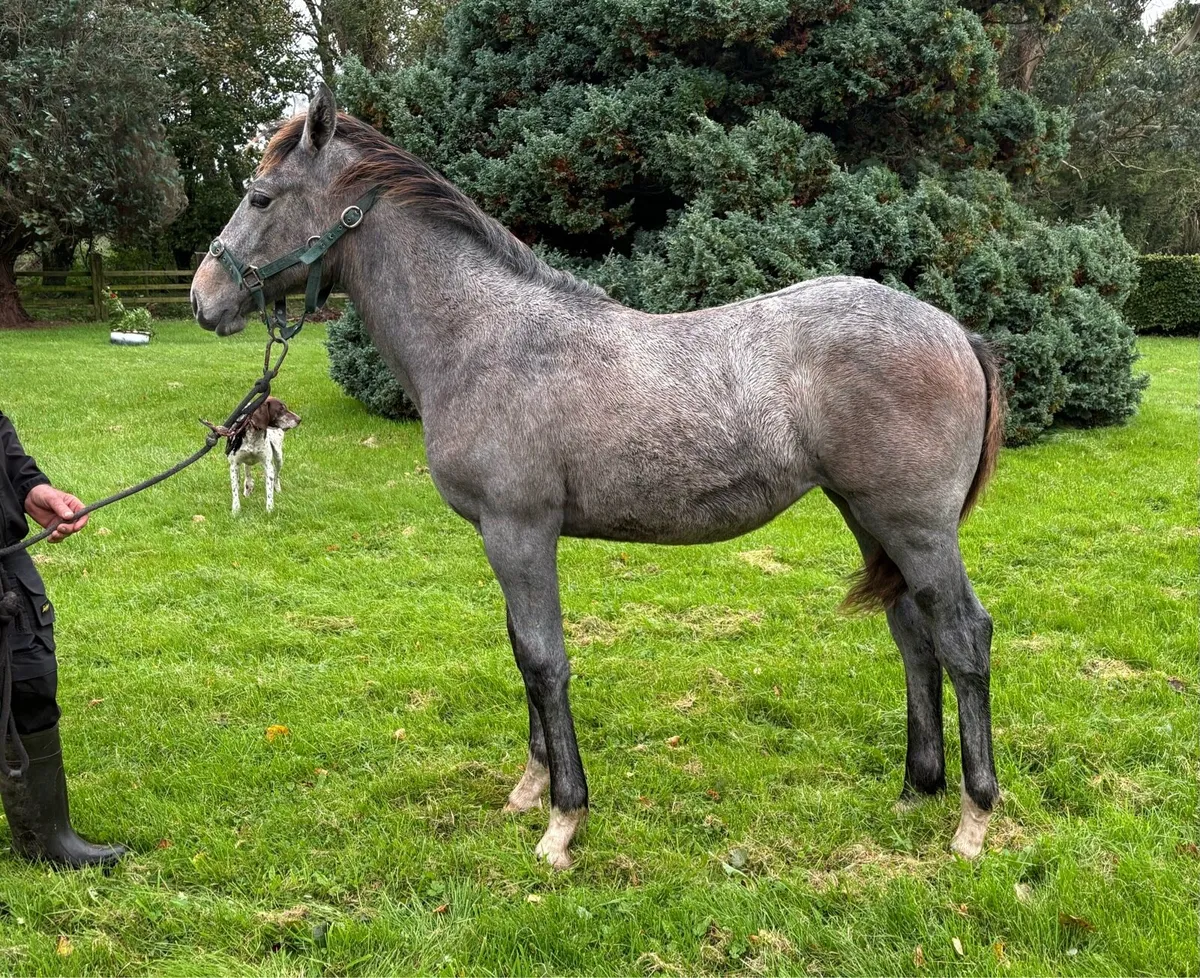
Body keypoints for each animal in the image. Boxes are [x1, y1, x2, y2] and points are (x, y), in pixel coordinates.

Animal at [191, 83, 1005, 870]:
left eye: (260, 197)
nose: (203, 298)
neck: (484, 338)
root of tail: (956, 330)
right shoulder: (503, 541)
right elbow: (522, 653)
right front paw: (528, 790)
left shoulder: (520, 532)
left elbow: (545, 660)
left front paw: (563, 821)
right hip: (869, 518)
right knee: (914, 634)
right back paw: (916, 789)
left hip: (915, 527)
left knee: (963, 635)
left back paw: (973, 820)